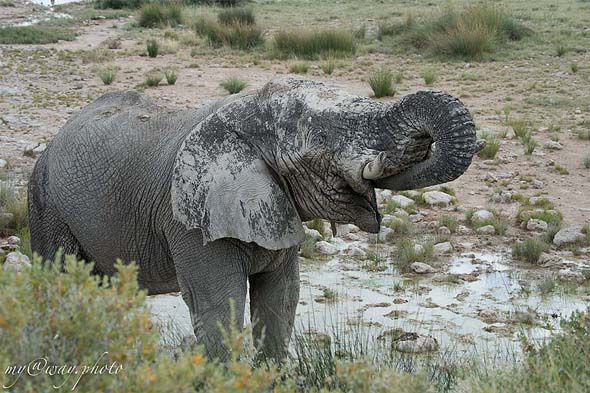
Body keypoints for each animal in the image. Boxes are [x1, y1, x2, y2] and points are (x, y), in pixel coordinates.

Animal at [26, 76, 486, 362]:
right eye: (325, 136)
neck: (248, 109)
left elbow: (281, 300)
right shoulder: (190, 223)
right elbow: (219, 304)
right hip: (45, 202)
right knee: (61, 280)